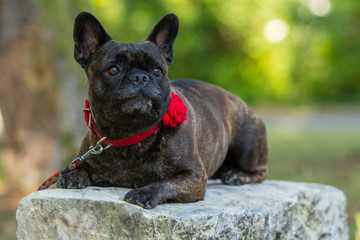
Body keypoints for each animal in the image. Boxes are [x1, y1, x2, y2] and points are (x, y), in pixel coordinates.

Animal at [57, 12, 268, 209]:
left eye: (158, 71)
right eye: (113, 70)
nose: (140, 77)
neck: (129, 135)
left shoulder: (194, 176)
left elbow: (166, 182)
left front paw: (144, 193)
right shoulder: (86, 157)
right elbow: (79, 168)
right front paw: (72, 175)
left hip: (247, 146)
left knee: (261, 171)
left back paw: (237, 175)